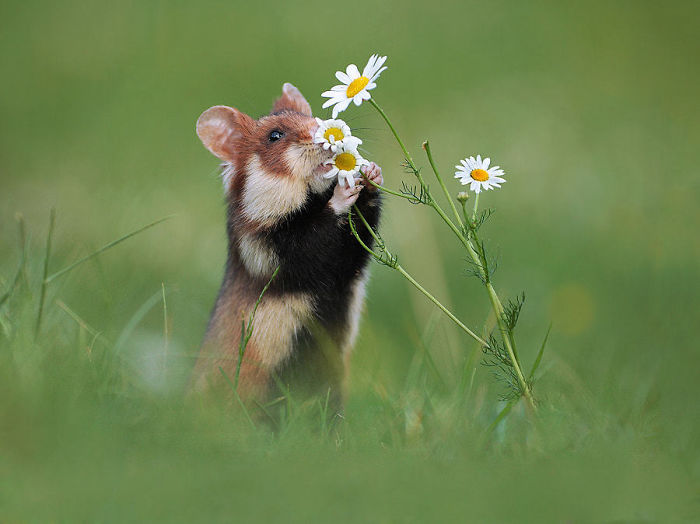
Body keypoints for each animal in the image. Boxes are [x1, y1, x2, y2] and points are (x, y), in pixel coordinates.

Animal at [191, 83, 382, 413]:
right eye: (275, 135)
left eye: (315, 117)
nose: (329, 135)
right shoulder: (272, 251)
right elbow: (315, 238)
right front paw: (344, 192)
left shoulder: (349, 266)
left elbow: (358, 244)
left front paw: (370, 173)